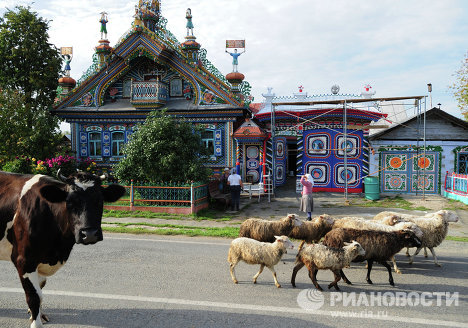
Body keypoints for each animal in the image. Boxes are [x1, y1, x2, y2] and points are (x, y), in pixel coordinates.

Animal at [0, 170, 126, 326]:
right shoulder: (24, 260)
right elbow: (34, 296)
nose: (89, 234)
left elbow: (40, 291)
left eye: (100, 201)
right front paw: (36, 323)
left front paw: (40, 315)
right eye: (70, 202)